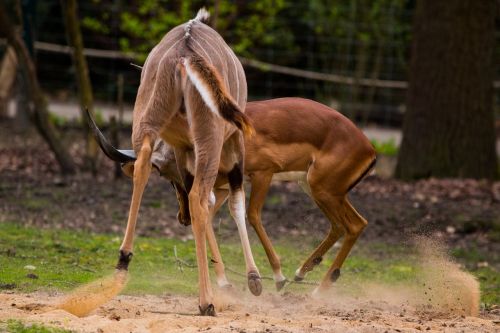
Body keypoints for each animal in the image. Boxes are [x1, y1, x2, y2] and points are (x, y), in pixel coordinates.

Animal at [91, 96, 378, 294]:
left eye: (167, 177)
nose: (182, 218)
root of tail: (369, 148)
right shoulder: (221, 188)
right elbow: (208, 220)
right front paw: (225, 283)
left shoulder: (262, 173)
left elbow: (252, 216)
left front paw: (276, 278)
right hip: (317, 188)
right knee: (349, 224)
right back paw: (302, 275)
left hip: (321, 188)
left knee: (352, 225)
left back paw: (315, 289)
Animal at [108, 7, 264, 314]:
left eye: (170, 181)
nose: (180, 219)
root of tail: (184, 57)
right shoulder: (234, 145)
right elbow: (236, 205)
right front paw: (253, 279)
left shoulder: (182, 152)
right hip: (209, 142)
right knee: (198, 199)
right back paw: (206, 302)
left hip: (147, 124)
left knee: (143, 167)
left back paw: (124, 258)